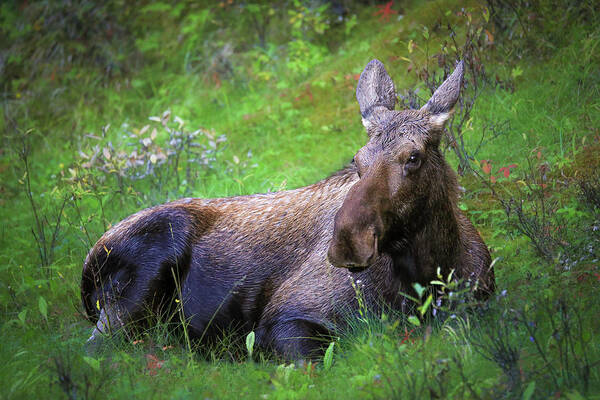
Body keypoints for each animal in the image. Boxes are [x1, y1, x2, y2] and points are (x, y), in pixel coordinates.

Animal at [82, 57, 494, 358]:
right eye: (357, 159)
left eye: (413, 157)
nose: (347, 241)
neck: (429, 274)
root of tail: (85, 271)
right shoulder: (282, 318)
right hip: (137, 284)